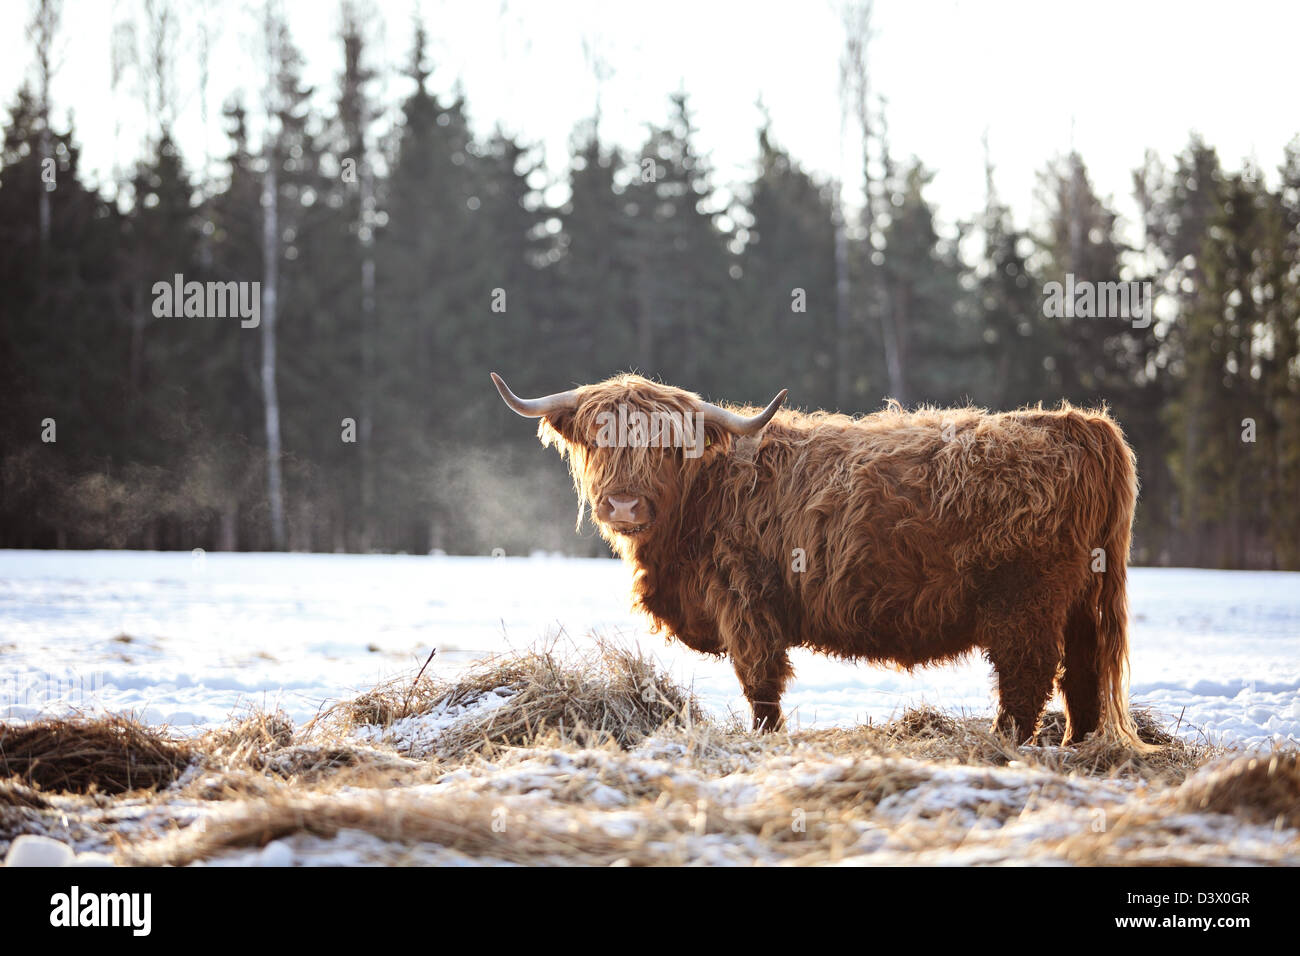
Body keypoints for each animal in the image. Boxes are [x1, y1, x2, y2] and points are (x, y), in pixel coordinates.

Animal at [488, 369, 1149, 749]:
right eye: (599, 436)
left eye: (668, 443)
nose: (624, 504)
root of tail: (1077, 425)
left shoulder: (744, 601)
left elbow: (760, 684)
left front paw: (766, 740)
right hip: (1082, 600)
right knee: (1084, 677)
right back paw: (1079, 748)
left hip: (1024, 600)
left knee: (1028, 679)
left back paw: (1002, 746)